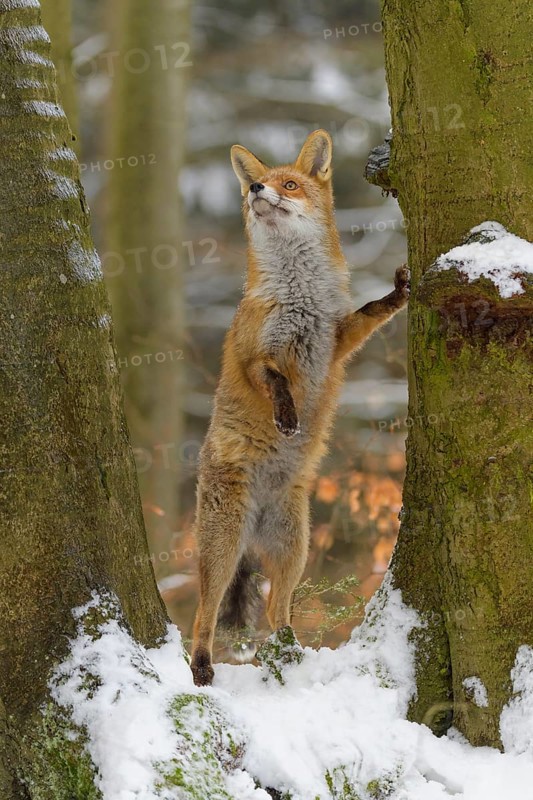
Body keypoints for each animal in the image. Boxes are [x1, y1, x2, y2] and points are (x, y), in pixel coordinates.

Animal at [190, 129, 409, 686]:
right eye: (259, 183)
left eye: (289, 184)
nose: (256, 189)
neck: (300, 295)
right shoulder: (253, 353)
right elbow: (273, 378)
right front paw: (287, 415)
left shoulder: (336, 342)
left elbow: (368, 314)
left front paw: (397, 295)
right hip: (222, 549)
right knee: (204, 614)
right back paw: (201, 668)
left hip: (295, 550)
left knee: (277, 610)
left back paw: (290, 653)